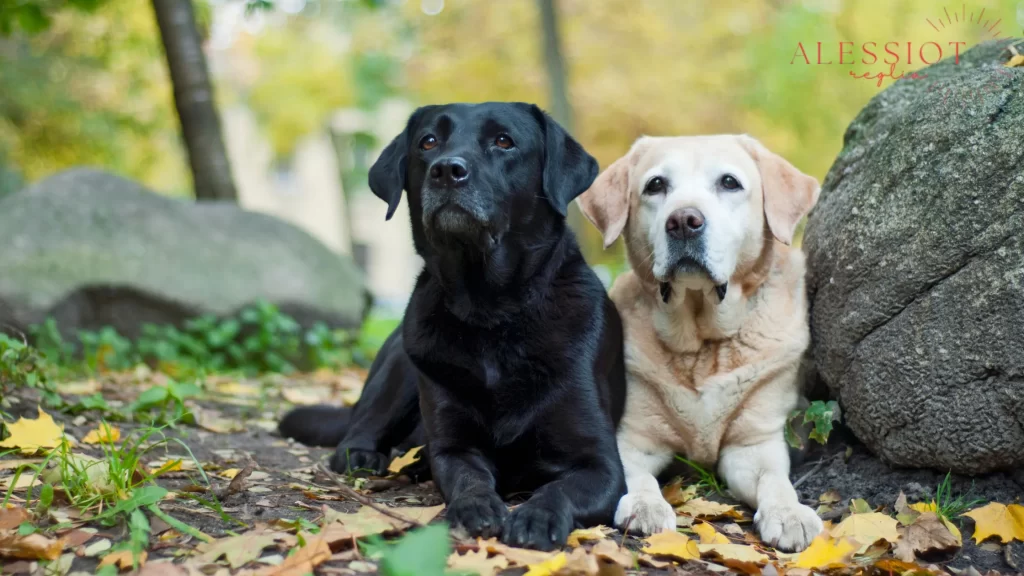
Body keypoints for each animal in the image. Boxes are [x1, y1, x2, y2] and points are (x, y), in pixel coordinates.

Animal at [282, 101, 630, 545]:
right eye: (428, 141)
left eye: (504, 141)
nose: (447, 170)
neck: (491, 313)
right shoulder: (453, 447)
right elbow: (468, 478)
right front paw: (475, 507)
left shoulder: (601, 465)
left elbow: (559, 489)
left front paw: (537, 517)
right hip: (399, 365)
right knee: (359, 428)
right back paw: (366, 453)